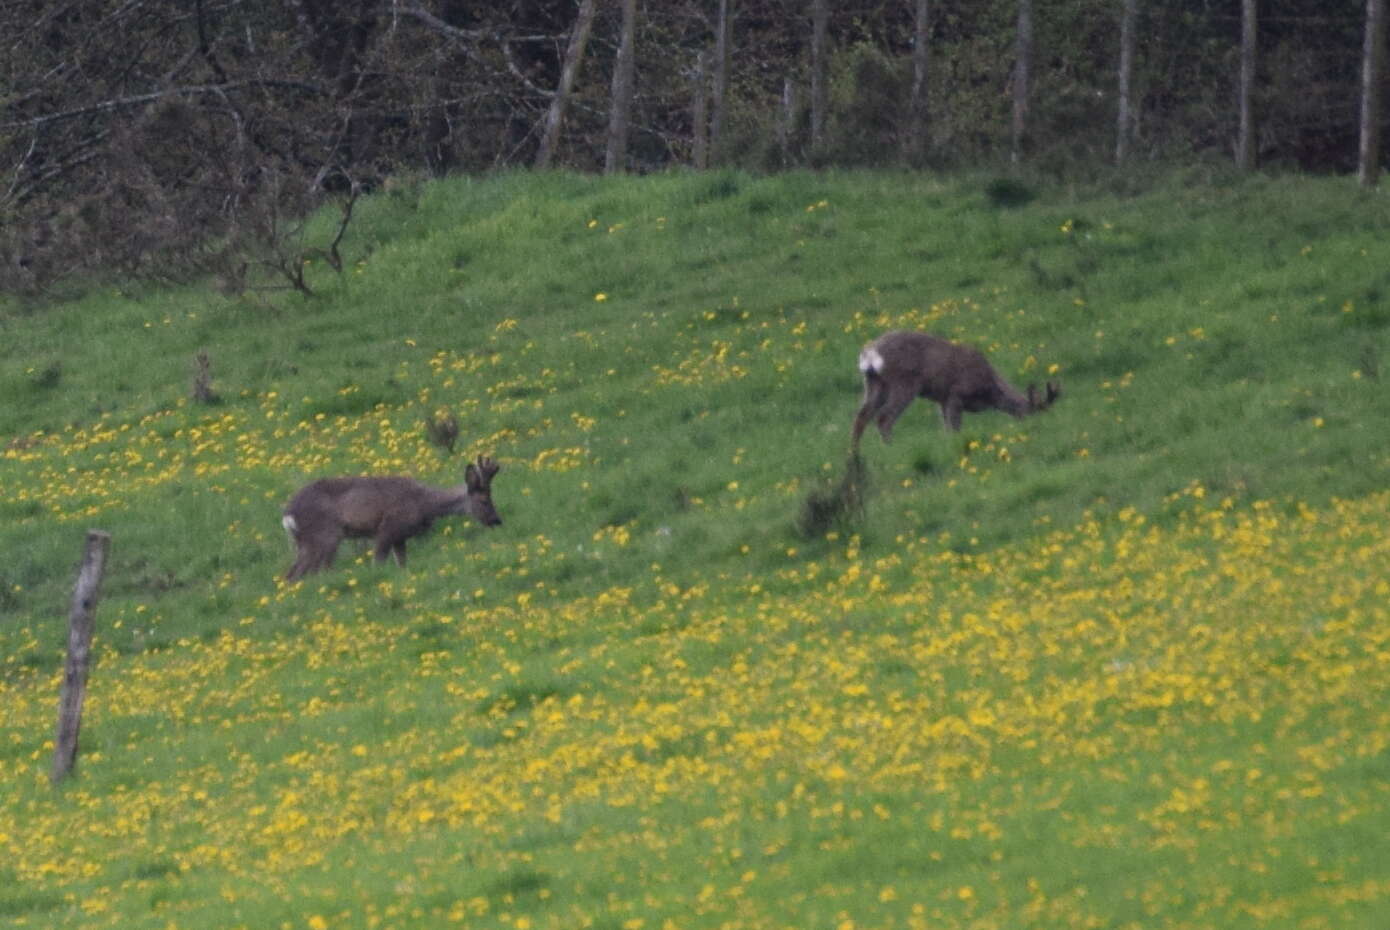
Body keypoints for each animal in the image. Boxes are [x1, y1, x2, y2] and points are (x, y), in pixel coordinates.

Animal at [279, 453, 503, 575]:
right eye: (484, 500)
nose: (497, 520)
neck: (424, 504)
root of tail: (288, 514)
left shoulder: (400, 538)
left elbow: (402, 564)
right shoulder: (387, 529)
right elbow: (377, 564)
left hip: (307, 541)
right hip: (325, 536)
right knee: (299, 573)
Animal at [845, 332, 1061, 450]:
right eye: (1031, 413)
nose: (1035, 428)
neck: (989, 389)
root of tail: (870, 352)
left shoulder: (942, 400)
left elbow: (946, 427)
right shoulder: (955, 395)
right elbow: (955, 428)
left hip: (873, 383)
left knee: (861, 417)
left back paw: (854, 454)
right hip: (904, 383)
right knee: (883, 417)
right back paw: (891, 447)